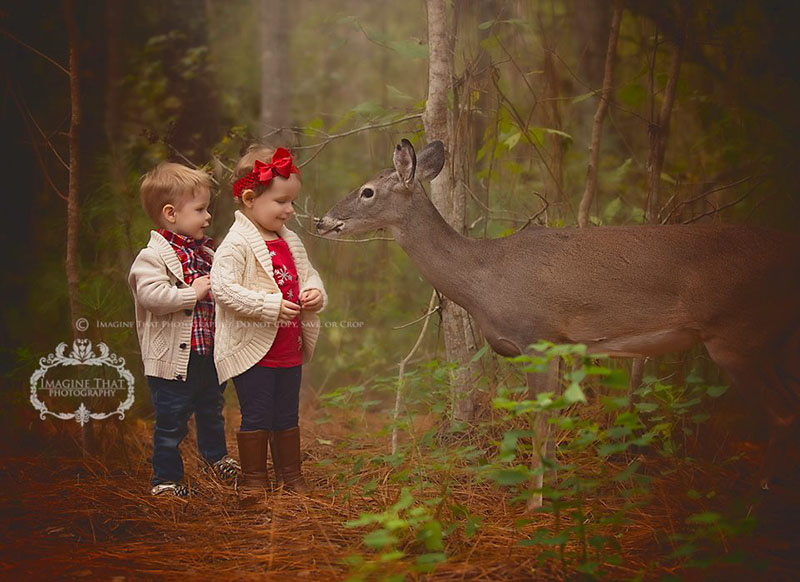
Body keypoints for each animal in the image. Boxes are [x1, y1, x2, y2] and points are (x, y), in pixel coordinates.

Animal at [318, 138, 800, 506]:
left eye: (366, 191)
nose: (322, 221)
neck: (482, 277)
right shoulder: (560, 344)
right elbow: (551, 426)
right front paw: (554, 492)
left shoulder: (537, 336)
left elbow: (539, 423)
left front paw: (534, 503)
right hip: (772, 340)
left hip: (738, 334)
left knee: (781, 413)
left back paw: (762, 493)